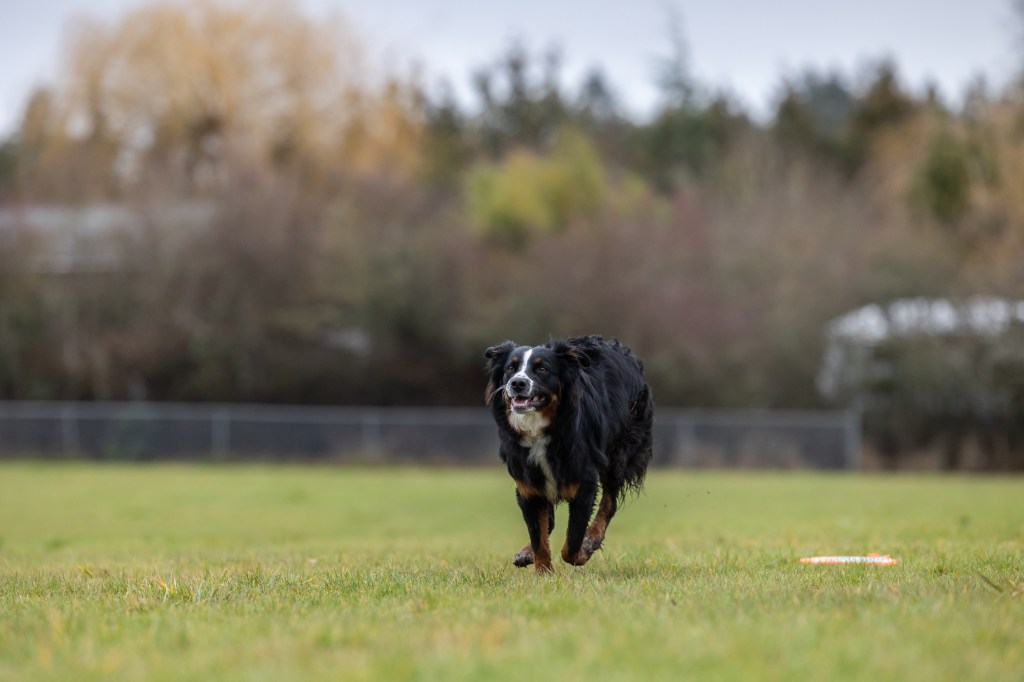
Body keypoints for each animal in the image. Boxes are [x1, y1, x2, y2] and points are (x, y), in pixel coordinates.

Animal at [484, 335, 654, 572]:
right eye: (511, 368)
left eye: (542, 369)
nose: (517, 383)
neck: (540, 429)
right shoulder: (528, 486)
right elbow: (539, 538)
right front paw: (543, 571)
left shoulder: (584, 482)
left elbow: (572, 544)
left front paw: (584, 550)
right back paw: (526, 553)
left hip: (619, 454)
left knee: (609, 503)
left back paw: (592, 538)